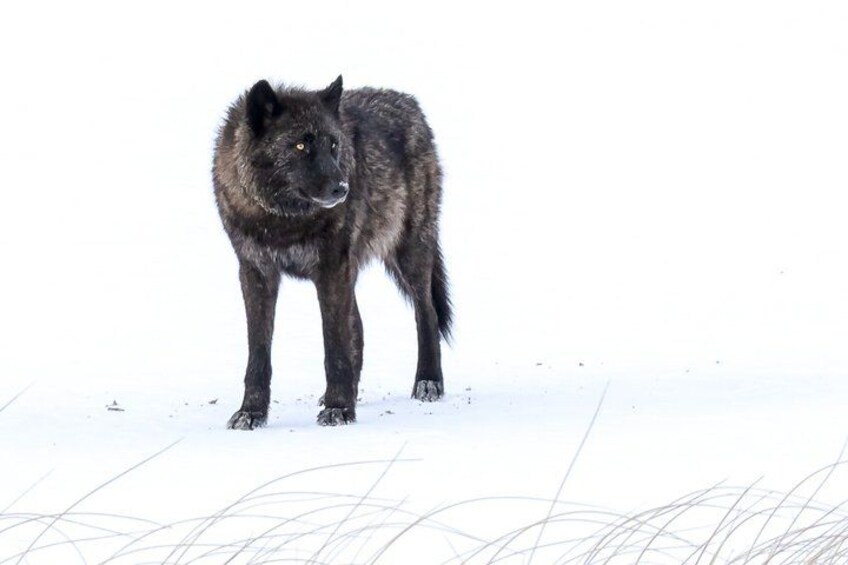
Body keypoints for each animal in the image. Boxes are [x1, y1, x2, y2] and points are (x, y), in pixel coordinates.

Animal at [212, 76, 452, 429]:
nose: (343, 189)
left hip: (410, 253)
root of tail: (408, 101)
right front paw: (251, 412)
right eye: (300, 146)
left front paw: (339, 408)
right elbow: (259, 353)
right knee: (360, 328)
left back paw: (428, 382)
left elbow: (334, 346)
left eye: (334, 145)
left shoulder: (330, 270)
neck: (283, 220)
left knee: (427, 314)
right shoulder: (256, 273)